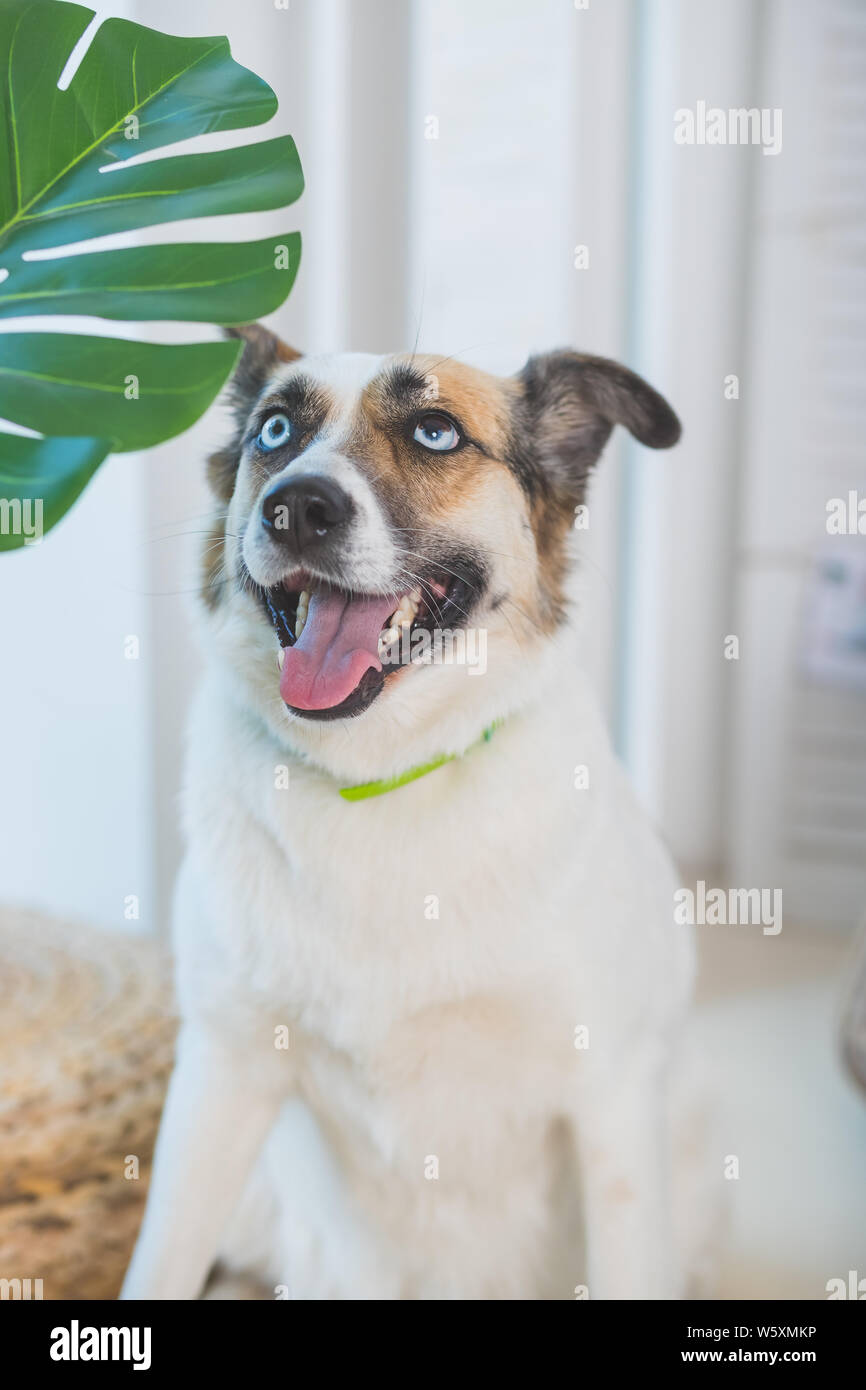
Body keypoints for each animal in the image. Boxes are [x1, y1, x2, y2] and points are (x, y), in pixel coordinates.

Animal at [122, 325, 700, 1301]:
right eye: (274, 430)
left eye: (436, 433)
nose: (296, 508)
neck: (385, 777)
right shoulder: (222, 1077)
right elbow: (157, 1264)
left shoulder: (614, 1104)